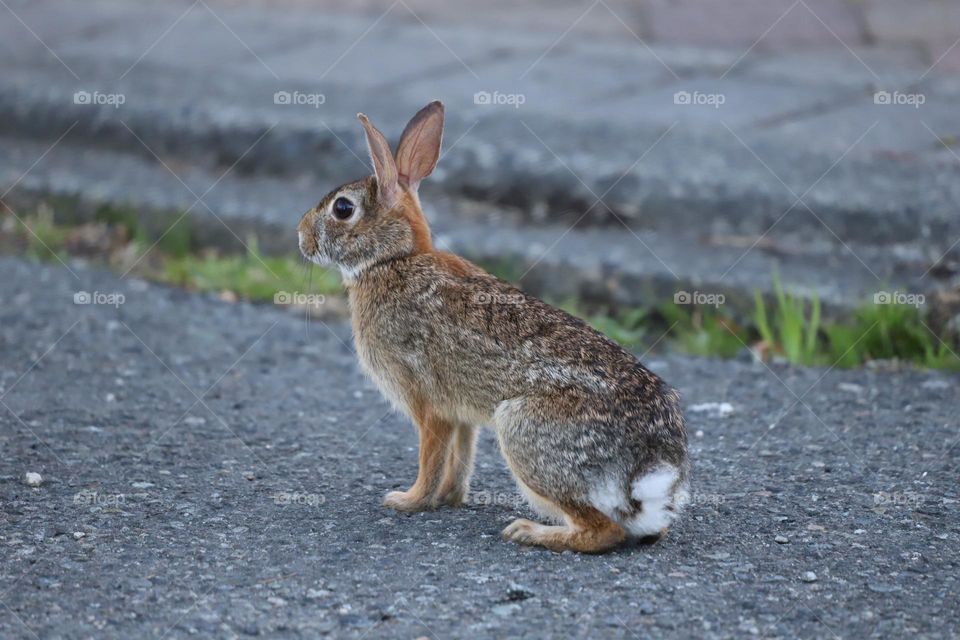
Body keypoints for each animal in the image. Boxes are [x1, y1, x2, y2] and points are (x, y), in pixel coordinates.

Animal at [296, 102, 688, 552]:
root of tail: (647, 469)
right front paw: (448, 499)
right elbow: (460, 457)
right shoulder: (460, 414)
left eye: (342, 209)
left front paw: (408, 500)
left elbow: (431, 455)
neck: (392, 260)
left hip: (523, 432)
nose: (301, 237)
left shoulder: (426, 401)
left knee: (603, 530)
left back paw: (530, 531)